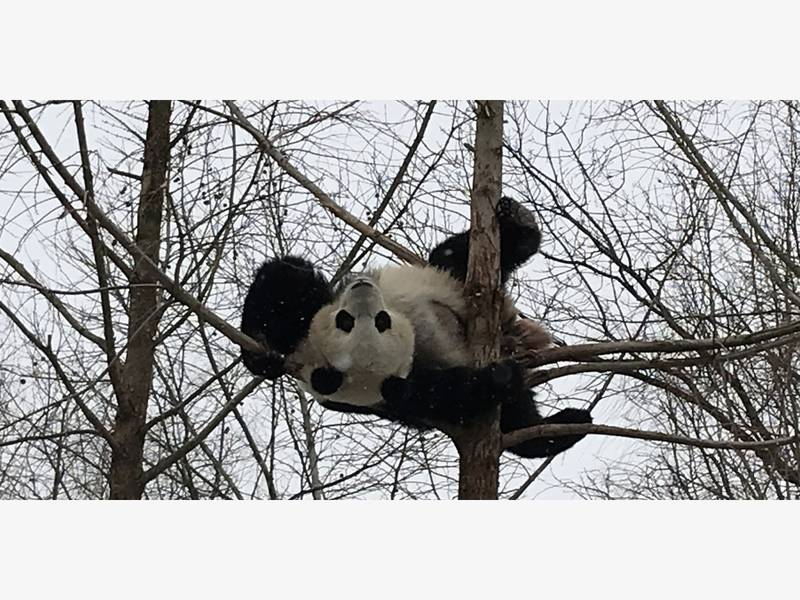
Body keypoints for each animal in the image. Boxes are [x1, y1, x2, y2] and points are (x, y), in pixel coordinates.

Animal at [240, 196, 592, 459]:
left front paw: (260, 353)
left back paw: (517, 221)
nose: (362, 289)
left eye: (347, 320)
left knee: (457, 254)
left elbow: (285, 278)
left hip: (454, 279)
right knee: (515, 422)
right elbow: (453, 396)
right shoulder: (399, 396)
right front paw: (499, 377)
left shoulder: (308, 318)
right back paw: (566, 425)